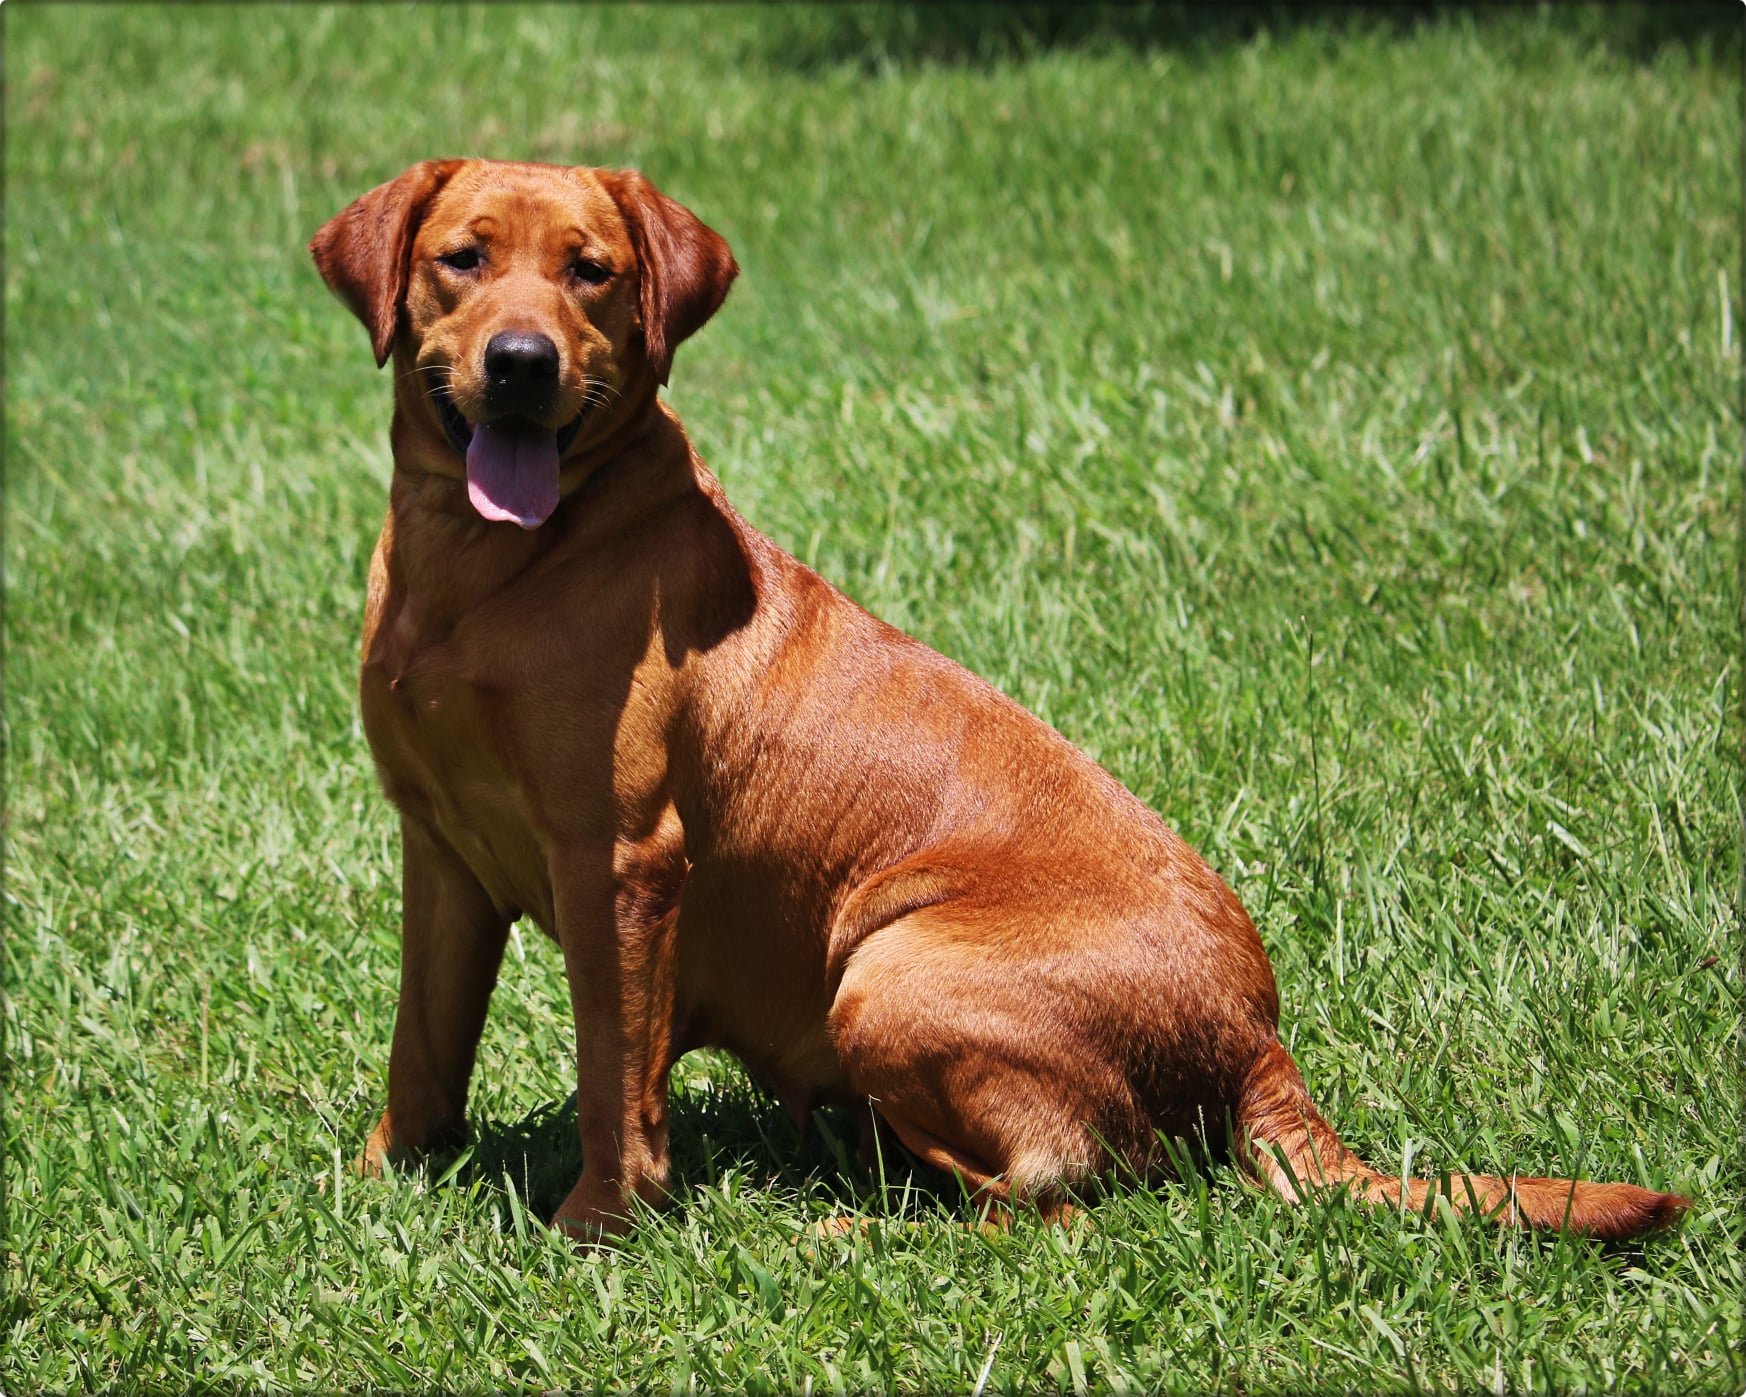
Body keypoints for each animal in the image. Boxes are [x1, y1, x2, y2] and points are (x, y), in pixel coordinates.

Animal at [314, 158, 1690, 1236]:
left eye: (591, 272)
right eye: (462, 259)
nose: (521, 363)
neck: (483, 572)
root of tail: (1259, 1039)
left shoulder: (623, 859)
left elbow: (615, 1075)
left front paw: (600, 1224)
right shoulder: (440, 849)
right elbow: (423, 1044)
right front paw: (387, 1179)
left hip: (886, 966)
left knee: (1058, 1192)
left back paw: (848, 1225)